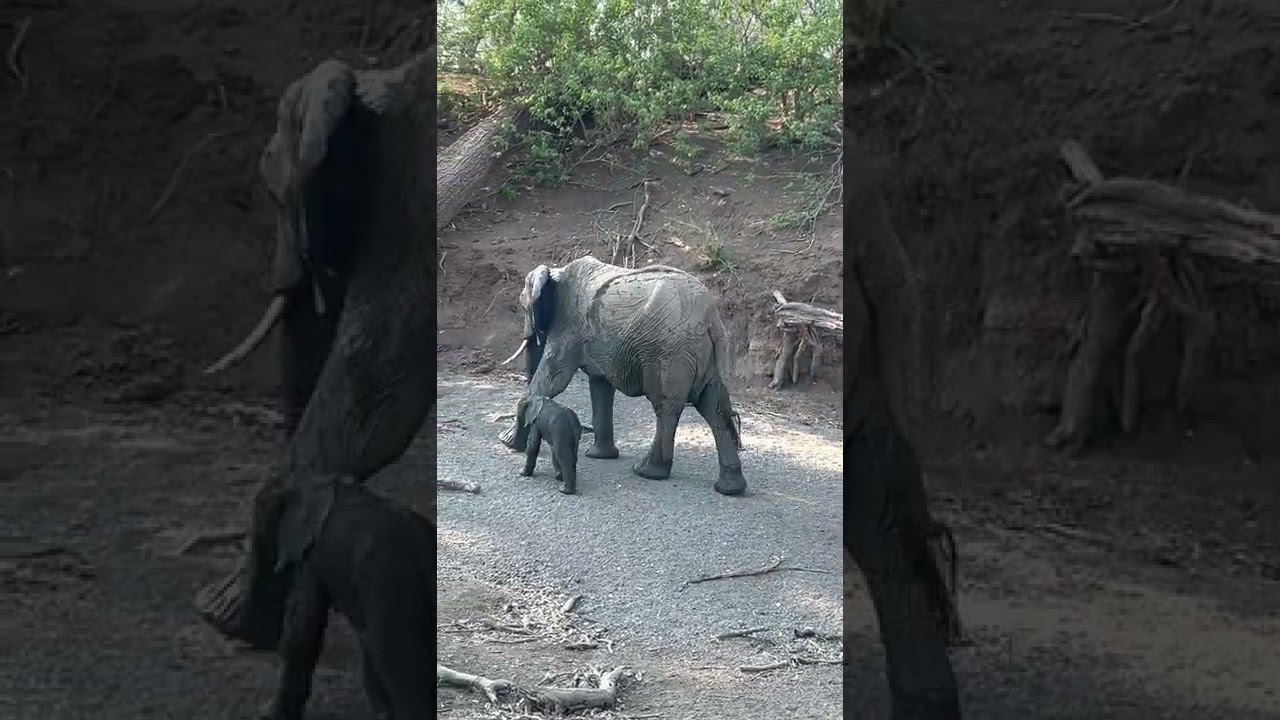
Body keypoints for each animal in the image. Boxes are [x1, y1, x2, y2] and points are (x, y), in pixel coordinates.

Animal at [257, 472, 433, 720]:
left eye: (264, 517)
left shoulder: (313, 557)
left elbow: (302, 630)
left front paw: (268, 714)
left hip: (391, 583)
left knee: (399, 666)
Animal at [496, 256, 747, 496]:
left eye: (524, 307)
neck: (558, 271)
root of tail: (711, 316)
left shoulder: (569, 326)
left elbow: (553, 379)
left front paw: (507, 442)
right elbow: (600, 386)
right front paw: (599, 456)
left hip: (669, 351)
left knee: (666, 407)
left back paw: (647, 472)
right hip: (701, 352)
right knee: (713, 408)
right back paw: (730, 488)